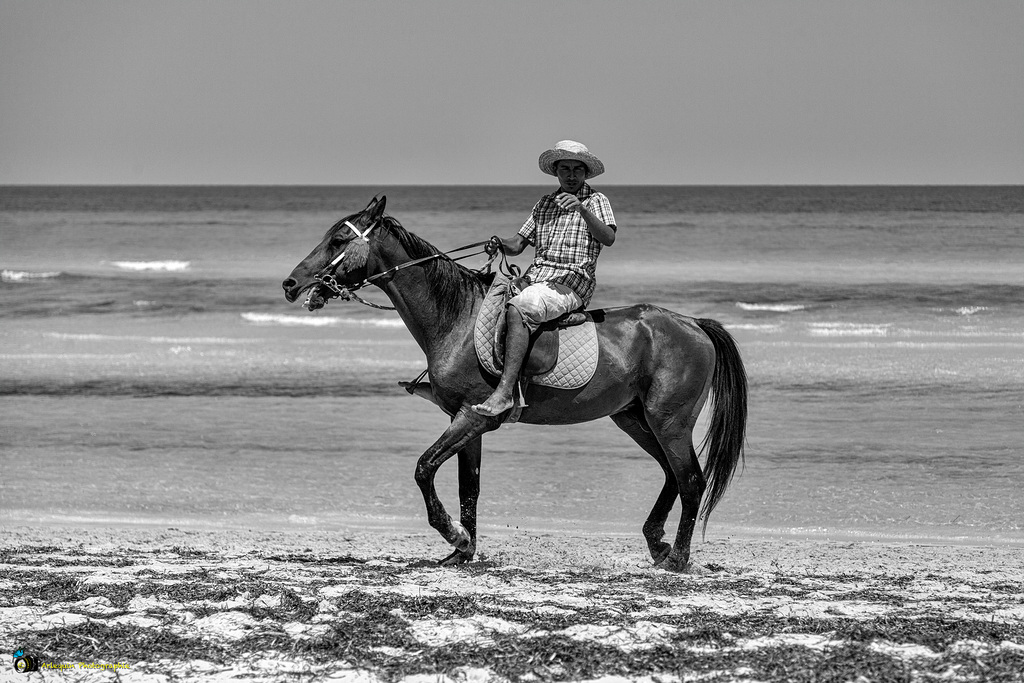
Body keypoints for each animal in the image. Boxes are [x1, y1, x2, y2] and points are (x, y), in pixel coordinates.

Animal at [284, 197, 749, 573]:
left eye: (338, 239)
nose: (290, 284)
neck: (458, 320)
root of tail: (694, 325)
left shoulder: (475, 417)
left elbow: (424, 469)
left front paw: (455, 536)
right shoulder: (463, 422)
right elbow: (468, 488)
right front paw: (462, 551)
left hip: (668, 421)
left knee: (691, 481)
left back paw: (677, 559)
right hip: (636, 419)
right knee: (673, 475)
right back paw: (658, 543)